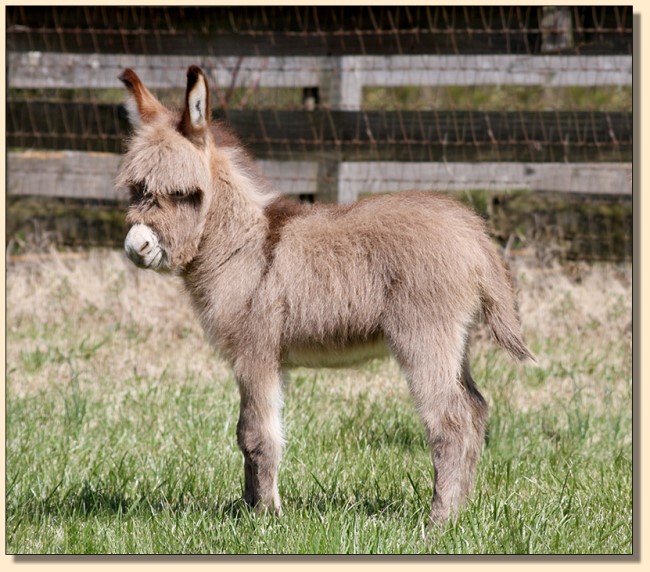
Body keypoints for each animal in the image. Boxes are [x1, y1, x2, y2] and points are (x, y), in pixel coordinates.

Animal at [117, 65, 532, 524]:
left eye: (185, 194)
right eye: (136, 189)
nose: (137, 247)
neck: (245, 245)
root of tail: (473, 233)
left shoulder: (255, 353)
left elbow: (255, 436)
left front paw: (266, 518)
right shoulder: (266, 357)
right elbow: (253, 434)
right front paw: (248, 508)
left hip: (424, 336)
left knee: (451, 420)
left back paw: (438, 521)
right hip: (457, 342)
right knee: (475, 410)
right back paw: (463, 510)